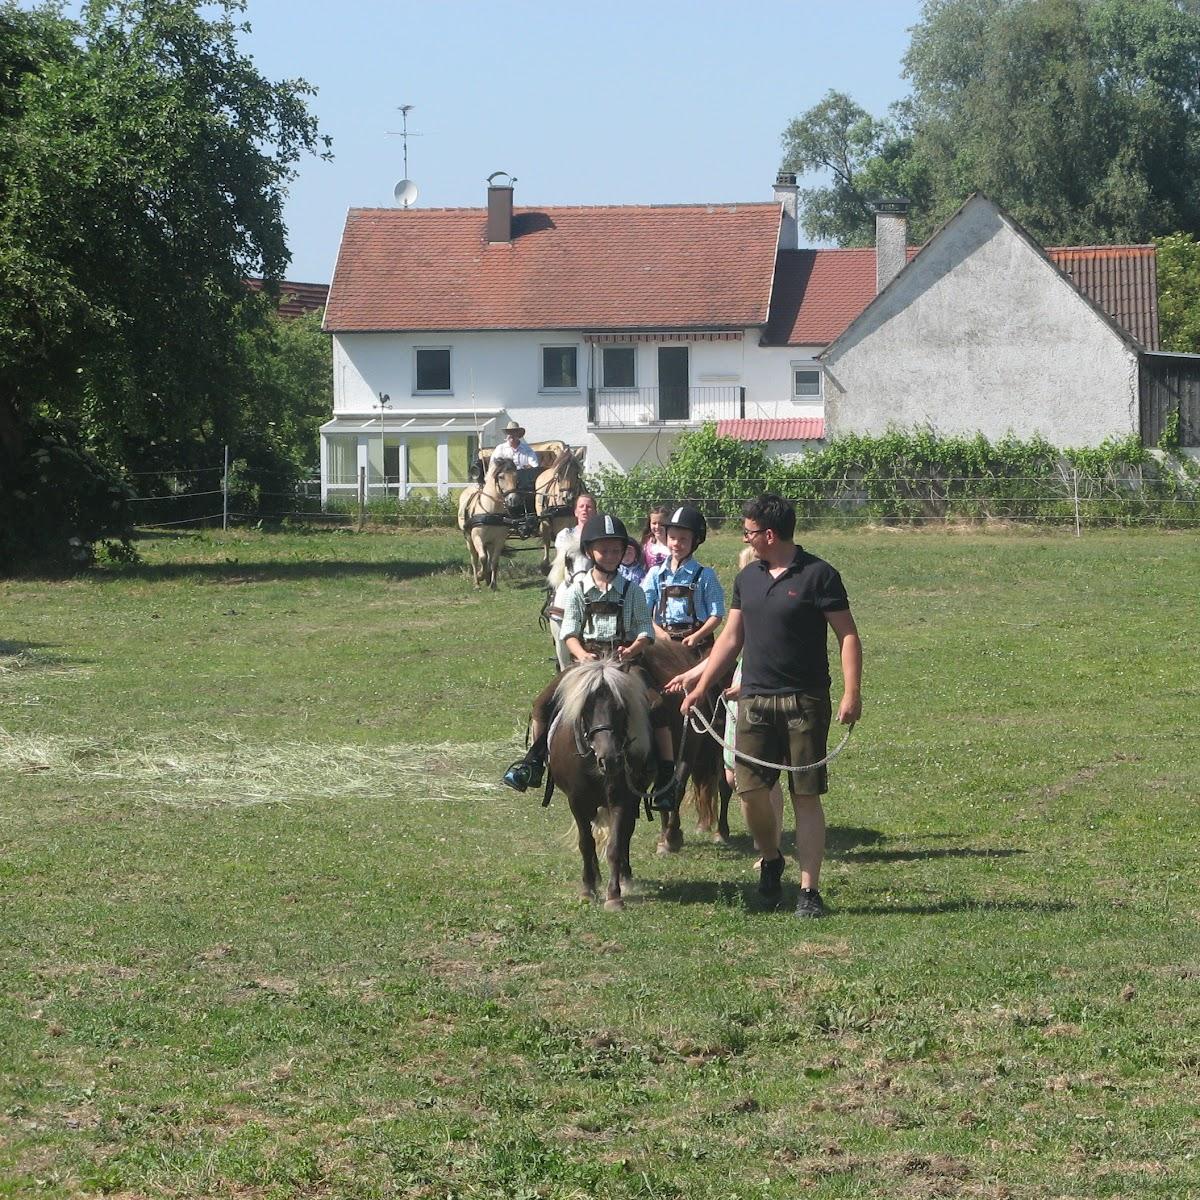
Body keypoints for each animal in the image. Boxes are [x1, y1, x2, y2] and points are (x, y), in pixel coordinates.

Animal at [549, 657, 652, 907]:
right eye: (586, 708)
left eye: (620, 708)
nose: (611, 759)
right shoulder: (577, 801)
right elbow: (586, 843)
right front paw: (588, 889)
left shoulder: (622, 799)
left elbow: (616, 844)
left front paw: (614, 895)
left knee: (625, 835)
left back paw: (625, 877)